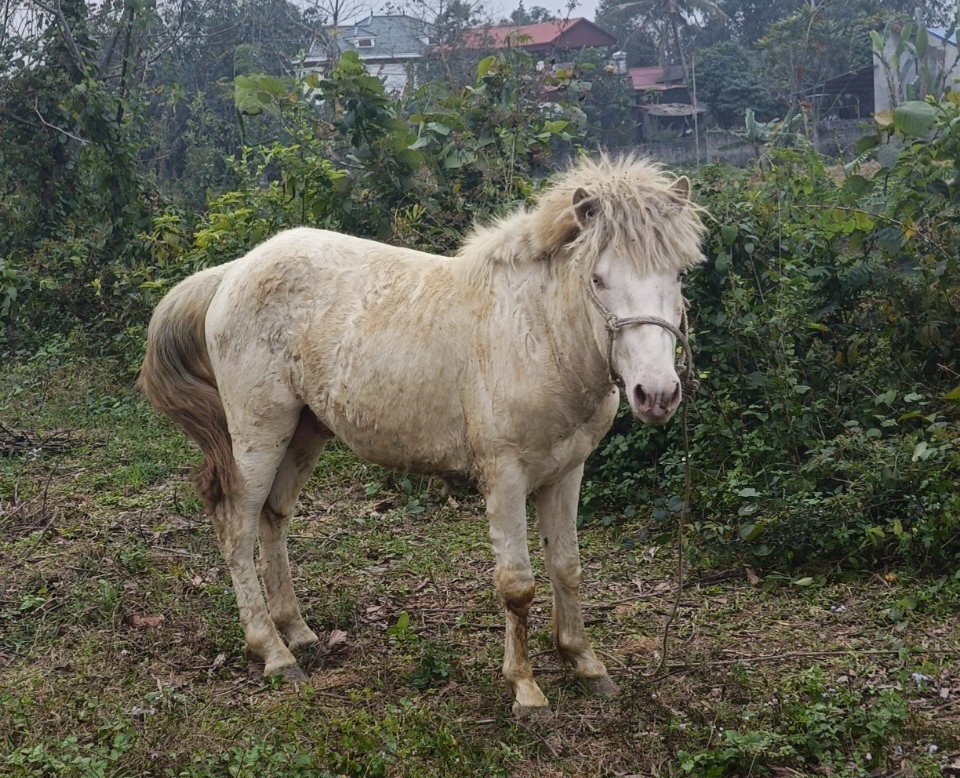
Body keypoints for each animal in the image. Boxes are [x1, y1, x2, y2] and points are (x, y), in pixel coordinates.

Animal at [141, 155, 704, 712]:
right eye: (598, 279)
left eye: (678, 274)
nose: (656, 393)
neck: (536, 333)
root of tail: (233, 272)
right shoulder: (505, 477)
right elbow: (517, 585)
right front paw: (525, 689)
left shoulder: (566, 471)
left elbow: (567, 566)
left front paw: (585, 662)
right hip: (259, 431)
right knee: (236, 525)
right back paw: (274, 653)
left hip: (304, 432)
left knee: (273, 518)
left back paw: (297, 631)